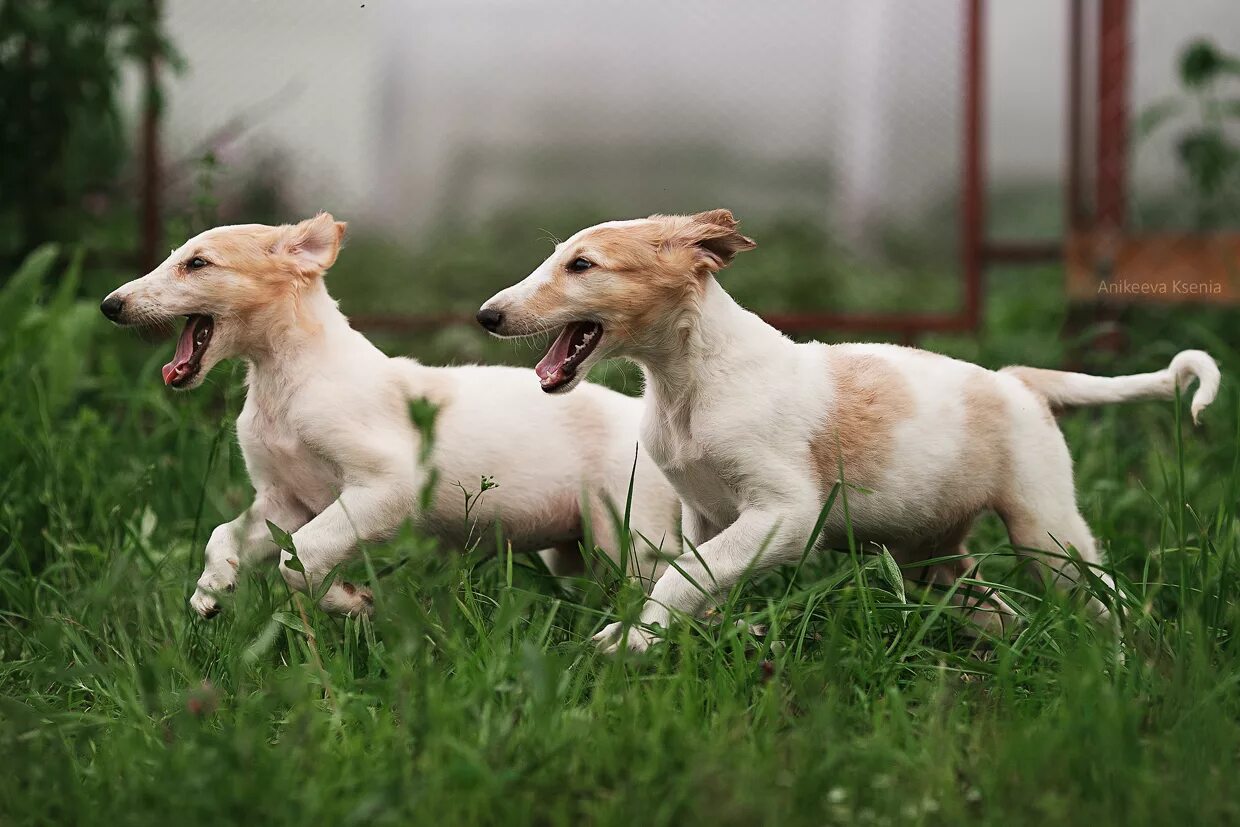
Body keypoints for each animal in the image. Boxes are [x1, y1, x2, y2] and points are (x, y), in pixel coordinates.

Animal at [99, 215, 679, 619]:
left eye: (197, 263)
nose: (110, 305)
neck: (288, 385)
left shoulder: (388, 487)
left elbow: (299, 559)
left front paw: (352, 601)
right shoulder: (284, 498)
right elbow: (223, 534)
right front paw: (210, 593)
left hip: (637, 539)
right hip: (575, 550)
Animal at [476, 208, 1220, 654]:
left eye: (583, 265)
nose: (486, 315)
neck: (689, 381)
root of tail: (1019, 381)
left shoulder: (786, 514)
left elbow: (684, 578)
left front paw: (631, 639)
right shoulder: (704, 513)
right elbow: (697, 574)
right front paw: (690, 637)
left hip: (1048, 531)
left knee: (1108, 599)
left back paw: (1128, 659)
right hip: (934, 559)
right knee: (1001, 610)